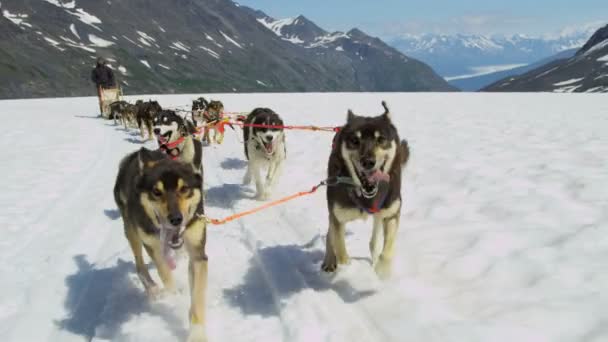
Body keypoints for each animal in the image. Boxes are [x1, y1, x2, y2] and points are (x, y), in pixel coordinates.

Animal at [114, 148, 209, 342]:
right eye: (156, 192)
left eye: (184, 188)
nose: (176, 219)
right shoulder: (153, 246)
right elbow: (164, 272)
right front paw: (173, 298)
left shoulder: (198, 255)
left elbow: (197, 297)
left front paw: (197, 334)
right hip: (132, 231)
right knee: (140, 265)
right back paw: (152, 289)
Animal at [320, 100, 410, 280]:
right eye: (355, 140)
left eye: (381, 139)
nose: (368, 162)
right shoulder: (337, 216)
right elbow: (339, 247)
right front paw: (347, 268)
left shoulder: (391, 213)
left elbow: (387, 251)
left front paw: (382, 271)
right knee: (330, 235)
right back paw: (329, 260)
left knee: (374, 241)